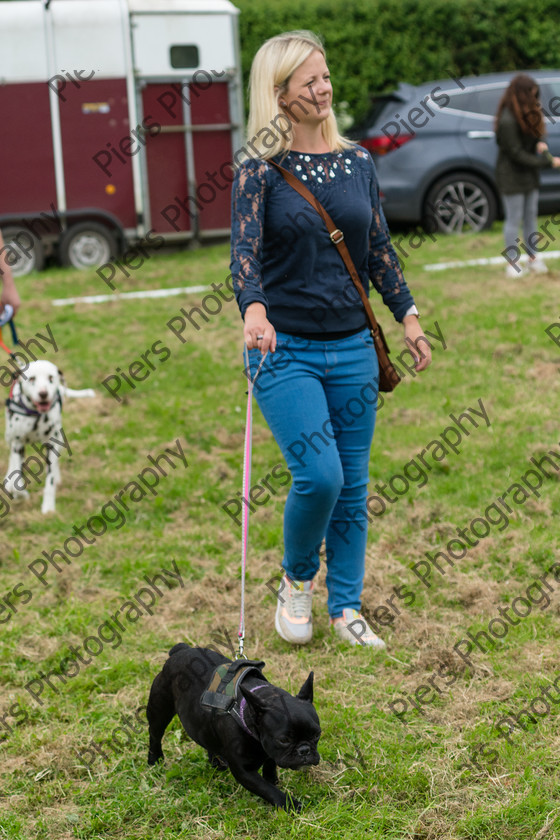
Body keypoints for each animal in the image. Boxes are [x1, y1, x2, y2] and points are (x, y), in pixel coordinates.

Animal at [4, 360, 94, 512]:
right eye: (32, 379)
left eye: (51, 378)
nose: (43, 394)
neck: (36, 415)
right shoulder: (18, 445)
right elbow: (17, 480)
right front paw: (20, 493)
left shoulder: (52, 446)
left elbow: (49, 480)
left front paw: (48, 507)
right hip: (9, 436)